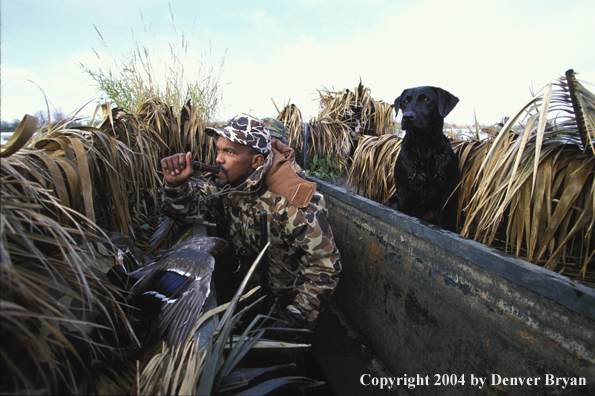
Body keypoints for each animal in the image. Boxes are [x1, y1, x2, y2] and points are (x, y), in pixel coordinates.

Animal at [386, 85, 460, 230]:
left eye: (426, 99)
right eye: (405, 101)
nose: (407, 117)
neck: (423, 148)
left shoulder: (446, 189)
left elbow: (441, 218)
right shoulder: (405, 188)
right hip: (393, 200)